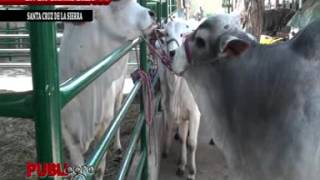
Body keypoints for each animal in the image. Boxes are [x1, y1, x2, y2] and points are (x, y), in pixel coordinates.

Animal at [59, 1, 156, 179]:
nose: (152, 13)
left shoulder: (104, 127)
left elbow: (99, 168)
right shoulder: (68, 133)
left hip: (118, 94)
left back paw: (117, 148)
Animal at [156, 17, 201, 179]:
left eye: (182, 35)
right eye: (166, 34)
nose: (172, 52)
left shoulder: (195, 113)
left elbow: (192, 143)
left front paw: (192, 172)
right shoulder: (182, 113)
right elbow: (183, 140)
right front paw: (182, 165)